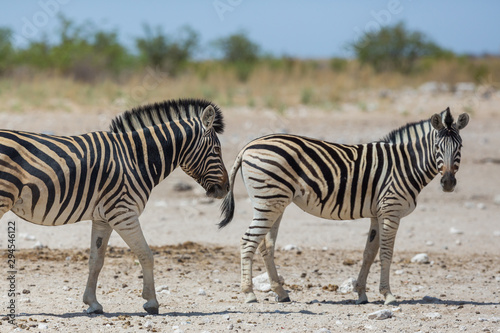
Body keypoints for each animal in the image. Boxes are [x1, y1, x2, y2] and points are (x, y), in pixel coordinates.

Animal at [0, 98, 229, 314]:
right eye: (217, 149)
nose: (226, 188)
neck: (136, 159)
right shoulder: (123, 213)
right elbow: (146, 254)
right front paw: (151, 302)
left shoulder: (103, 218)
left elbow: (96, 260)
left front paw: (92, 303)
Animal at [219, 107, 468, 304]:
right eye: (437, 147)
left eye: (460, 147)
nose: (448, 183)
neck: (405, 165)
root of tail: (248, 146)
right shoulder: (391, 211)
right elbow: (386, 254)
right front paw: (388, 295)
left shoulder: (377, 213)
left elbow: (369, 253)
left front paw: (361, 294)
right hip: (268, 202)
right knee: (248, 241)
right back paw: (249, 293)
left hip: (274, 203)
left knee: (266, 246)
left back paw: (281, 293)